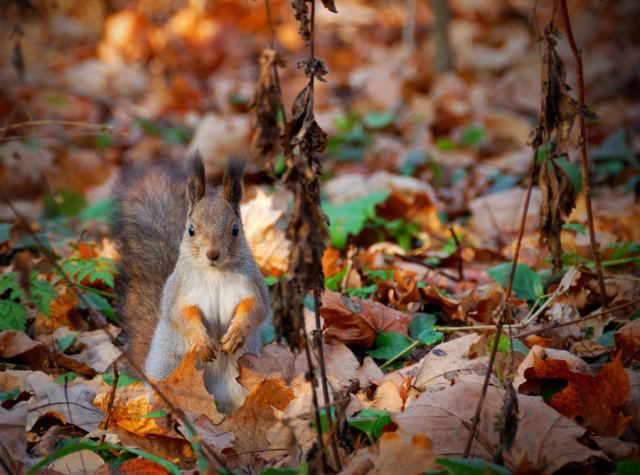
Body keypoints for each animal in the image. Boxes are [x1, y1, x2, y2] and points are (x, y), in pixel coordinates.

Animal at [113, 153, 270, 413]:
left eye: (235, 229)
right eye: (191, 230)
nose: (213, 254)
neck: (215, 274)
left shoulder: (253, 285)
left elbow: (256, 309)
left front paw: (236, 334)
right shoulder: (179, 291)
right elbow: (181, 314)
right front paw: (201, 340)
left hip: (240, 384)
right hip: (168, 374)